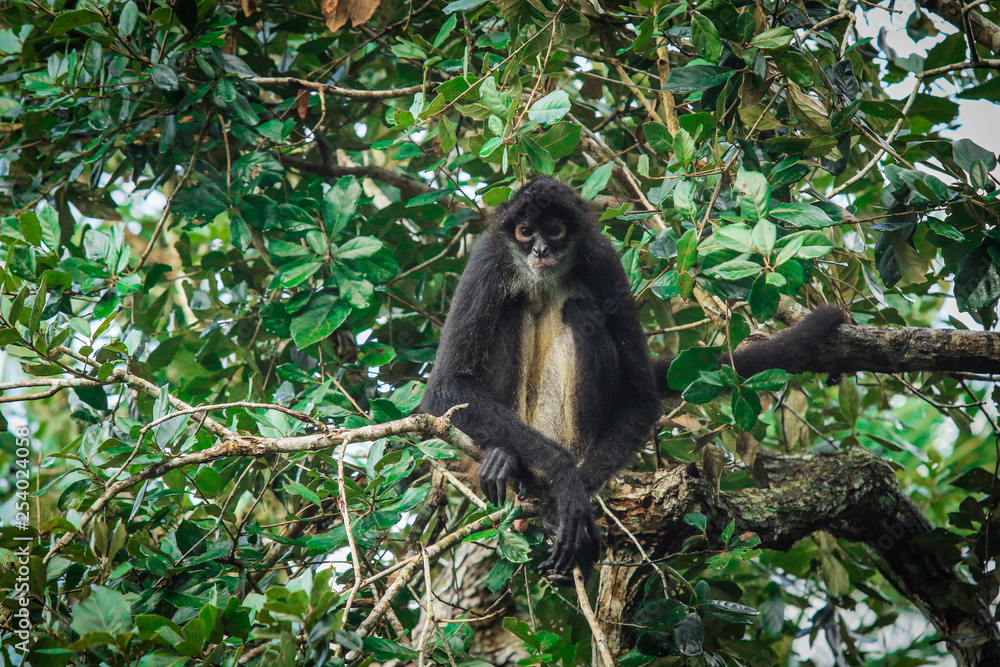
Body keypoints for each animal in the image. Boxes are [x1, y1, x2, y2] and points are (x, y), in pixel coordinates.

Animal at [419, 176, 845, 584]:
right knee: (513, 304)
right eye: (525, 232)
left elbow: (640, 399)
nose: (539, 250)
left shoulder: (603, 260)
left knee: (580, 311)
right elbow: (446, 387)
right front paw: (565, 481)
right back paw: (505, 457)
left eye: (554, 230)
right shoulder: (487, 261)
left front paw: (569, 503)